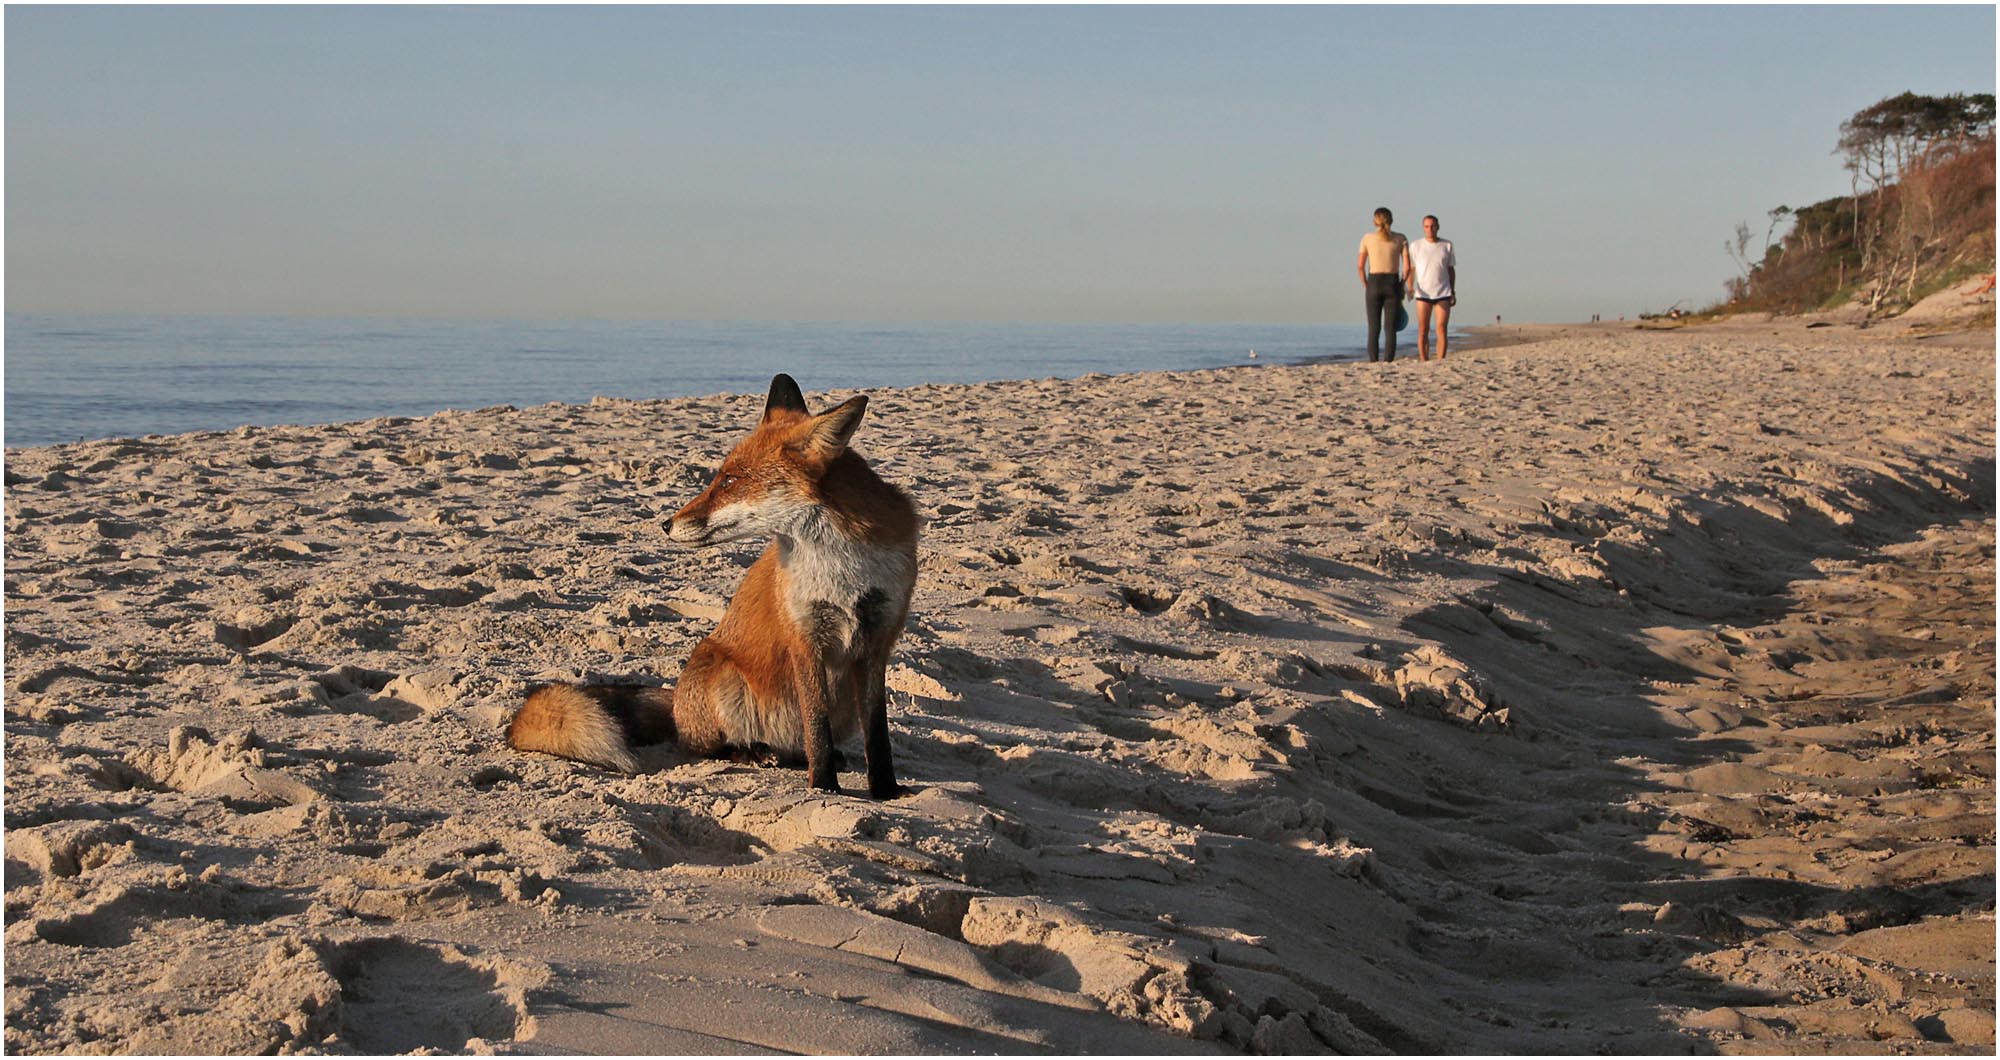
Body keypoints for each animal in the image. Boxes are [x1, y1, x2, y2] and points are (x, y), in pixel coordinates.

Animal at [512, 372, 924, 792]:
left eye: (729, 481)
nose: (666, 524)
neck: (842, 569)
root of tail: (676, 698)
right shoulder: (804, 637)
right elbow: (816, 727)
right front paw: (824, 787)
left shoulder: (878, 639)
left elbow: (877, 734)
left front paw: (886, 791)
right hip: (722, 674)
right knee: (705, 745)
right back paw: (753, 751)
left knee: (795, 746)